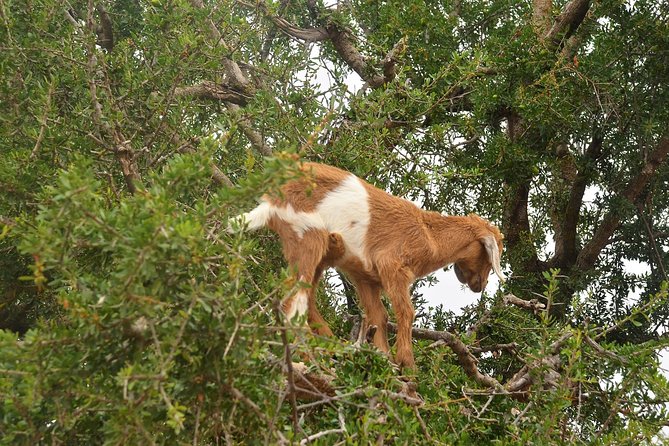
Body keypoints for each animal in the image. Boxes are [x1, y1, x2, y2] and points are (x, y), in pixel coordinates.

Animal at [232, 162, 504, 368]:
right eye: (490, 256)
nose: (480, 285)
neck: (428, 234)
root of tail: (271, 204)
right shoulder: (392, 266)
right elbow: (406, 311)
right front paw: (407, 365)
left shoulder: (365, 277)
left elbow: (379, 316)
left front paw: (385, 359)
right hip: (307, 238)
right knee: (293, 302)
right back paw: (307, 358)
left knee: (306, 298)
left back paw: (330, 344)